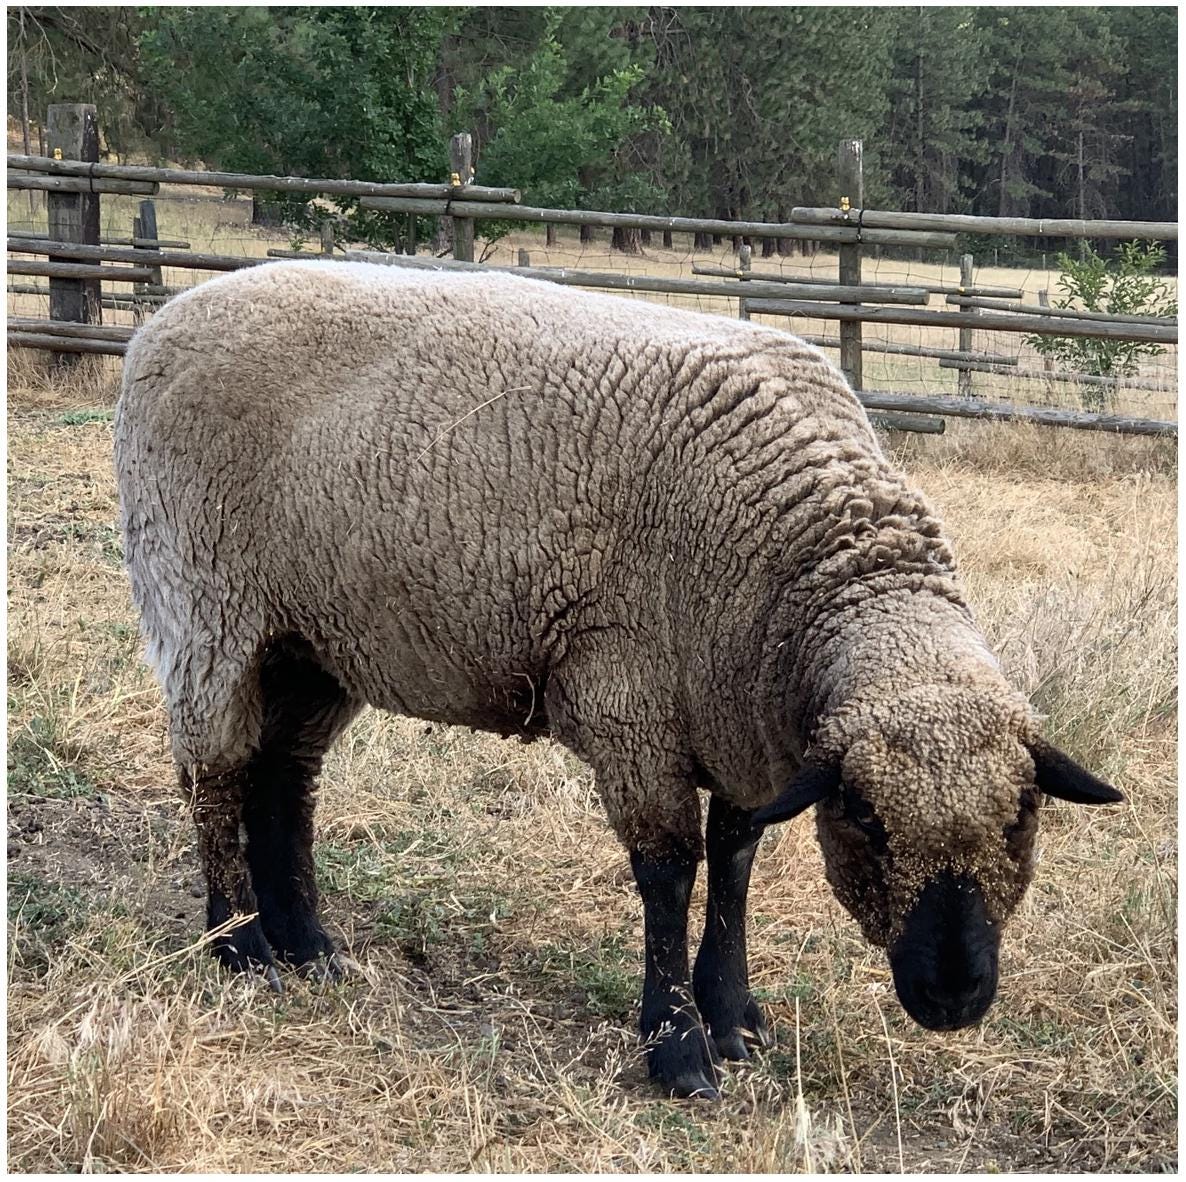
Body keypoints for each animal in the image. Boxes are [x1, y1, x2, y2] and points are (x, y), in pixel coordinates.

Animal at [114, 260, 1122, 1100]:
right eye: (866, 818)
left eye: (1023, 817)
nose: (953, 997)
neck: (805, 562)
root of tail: (165, 319)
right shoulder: (630, 704)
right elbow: (670, 874)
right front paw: (677, 1050)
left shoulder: (735, 714)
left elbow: (736, 861)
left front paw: (732, 1015)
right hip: (204, 604)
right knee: (215, 775)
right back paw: (241, 946)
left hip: (314, 636)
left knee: (285, 776)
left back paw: (311, 946)